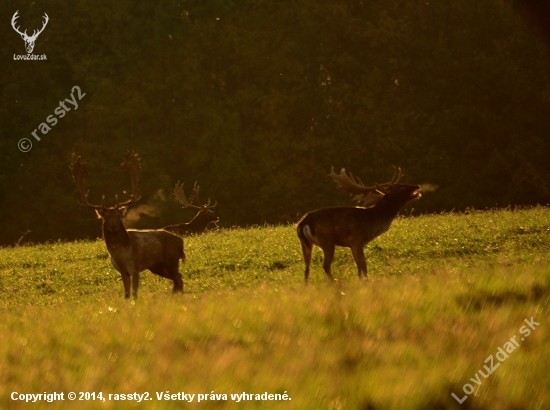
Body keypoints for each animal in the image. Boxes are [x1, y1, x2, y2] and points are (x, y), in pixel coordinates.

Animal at [71, 151, 185, 298]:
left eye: (118, 216)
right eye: (105, 217)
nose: (113, 227)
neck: (119, 254)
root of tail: (181, 241)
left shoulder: (134, 266)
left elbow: (134, 292)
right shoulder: (121, 270)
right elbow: (126, 294)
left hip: (171, 260)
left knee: (179, 279)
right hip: (157, 266)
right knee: (178, 279)